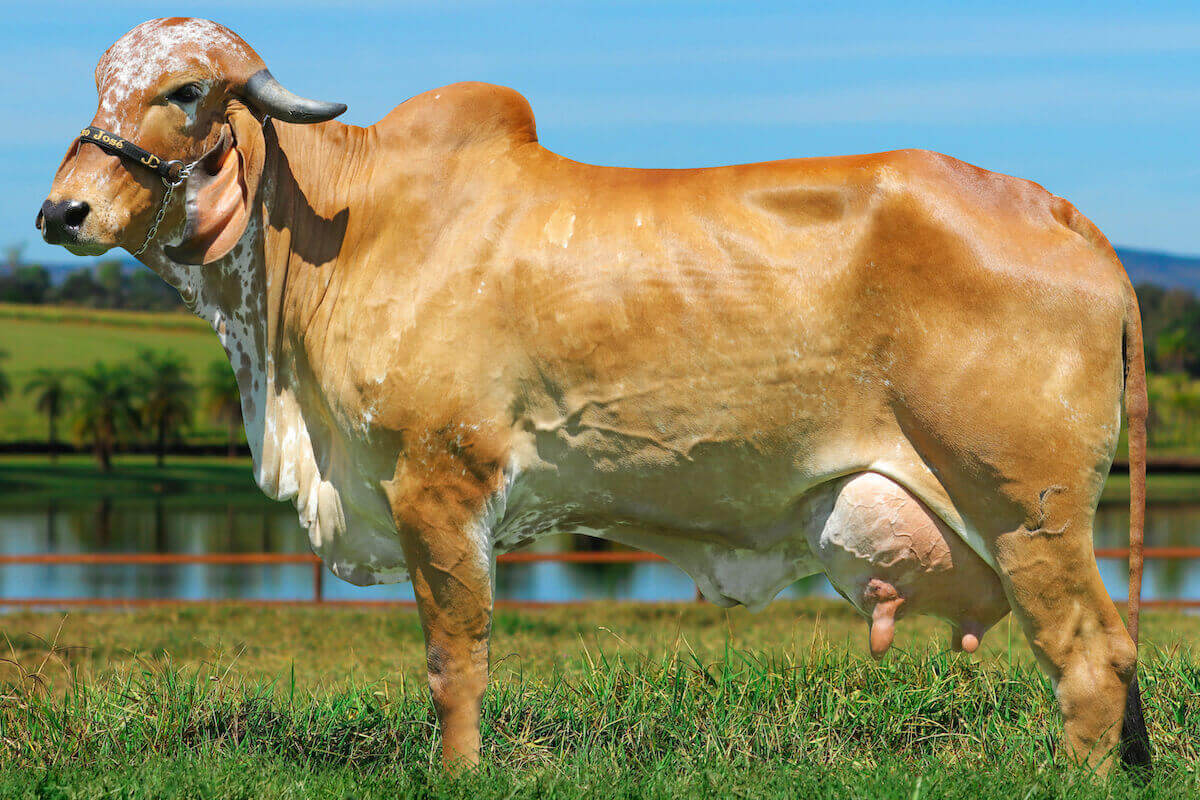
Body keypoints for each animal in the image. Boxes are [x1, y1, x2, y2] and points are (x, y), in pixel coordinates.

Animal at [38, 18, 1150, 774]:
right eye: (98, 82)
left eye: (185, 89)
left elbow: (455, 657)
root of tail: (1068, 216)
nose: (61, 211)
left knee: (1092, 655)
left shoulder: (440, 484)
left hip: (1028, 511)